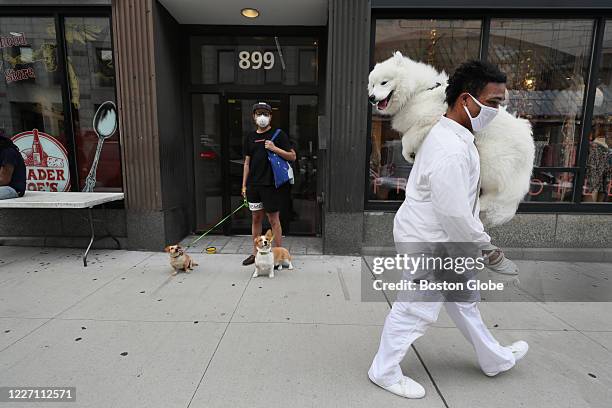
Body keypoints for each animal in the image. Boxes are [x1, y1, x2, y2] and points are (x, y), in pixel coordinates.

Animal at [366, 51, 532, 226]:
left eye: (384, 82)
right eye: (372, 84)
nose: (371, 97)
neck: (418, 91)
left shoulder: (431, 116)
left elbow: (409, 137)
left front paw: (408, 152)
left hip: (491, 160)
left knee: (499, 196)